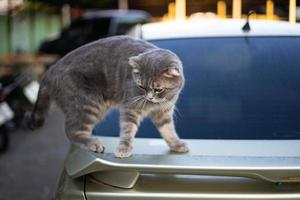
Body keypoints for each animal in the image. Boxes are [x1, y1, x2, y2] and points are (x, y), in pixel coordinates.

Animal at [27, 35, 189, 158]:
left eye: (158, 89)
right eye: (141, 86)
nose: (149, 98)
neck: (158, 102)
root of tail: (51, 70)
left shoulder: (164, 112)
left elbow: (168, 130)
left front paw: (176, 144)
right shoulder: (130, 108)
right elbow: (128, 130)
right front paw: (124, 148)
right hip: (88, 105)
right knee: (72, 131)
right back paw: (93, 142)